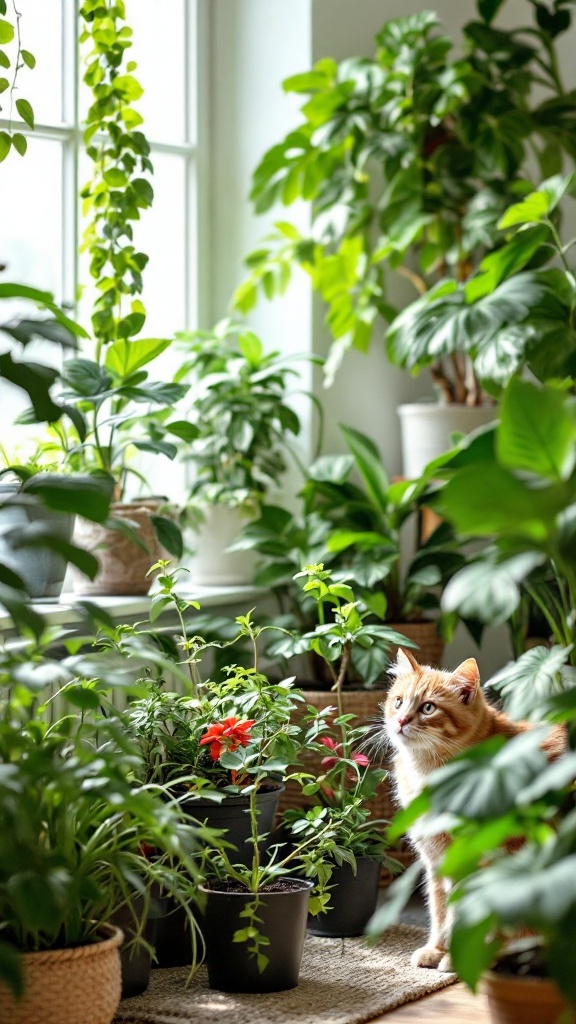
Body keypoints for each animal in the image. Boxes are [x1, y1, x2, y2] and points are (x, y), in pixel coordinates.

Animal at [381, 651, 561, 970]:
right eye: (399, 702)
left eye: (428, 707)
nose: (400, 720)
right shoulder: (436, 861)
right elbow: (439, 910)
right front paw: (436, 949)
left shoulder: (475, 861)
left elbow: (464, 917)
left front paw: (457, 960)